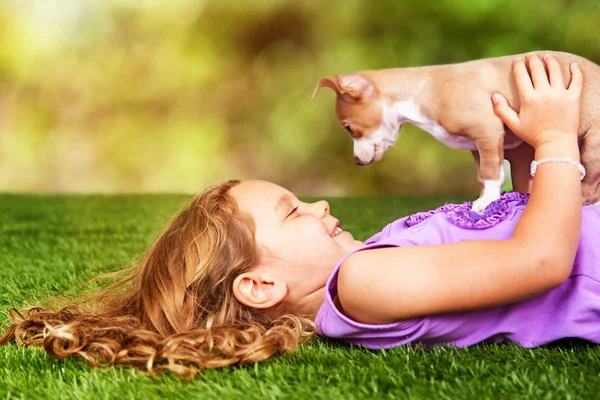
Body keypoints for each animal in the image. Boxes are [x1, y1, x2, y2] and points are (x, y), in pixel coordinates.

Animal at [314, 51, 600, 212]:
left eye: (349, 129)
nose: (356, 162)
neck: (421, 91)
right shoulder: (476, 146)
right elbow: (484, 176)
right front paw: (484, 197)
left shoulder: (487, 132)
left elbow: (492, 172)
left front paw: (486, 203)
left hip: (592, 147)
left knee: (590, 185)